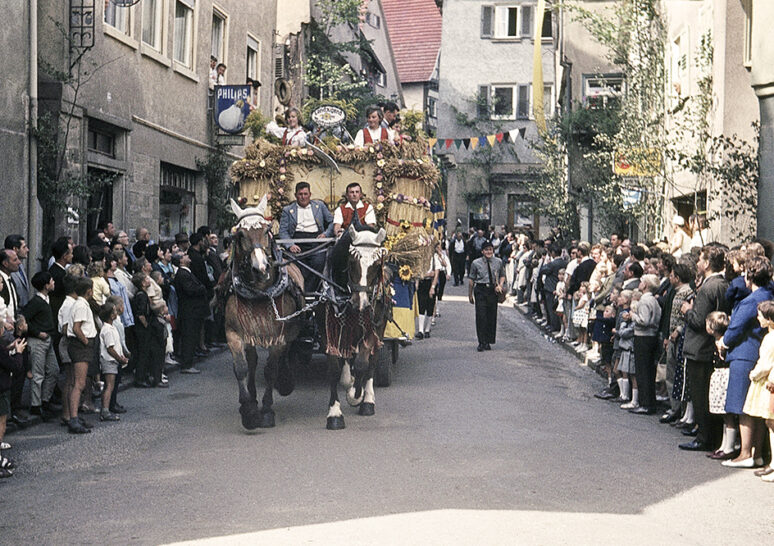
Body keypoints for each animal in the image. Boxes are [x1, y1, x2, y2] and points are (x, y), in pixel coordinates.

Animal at [223, 198, 304, 428]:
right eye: (240, 235)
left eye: (267, 230)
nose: (261, 268)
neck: (261, 292)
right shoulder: (234, 332)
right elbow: (241, 368)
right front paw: (249, 410)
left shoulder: (278, 336)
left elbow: (271, 370)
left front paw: (267, 410)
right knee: (252, 361)